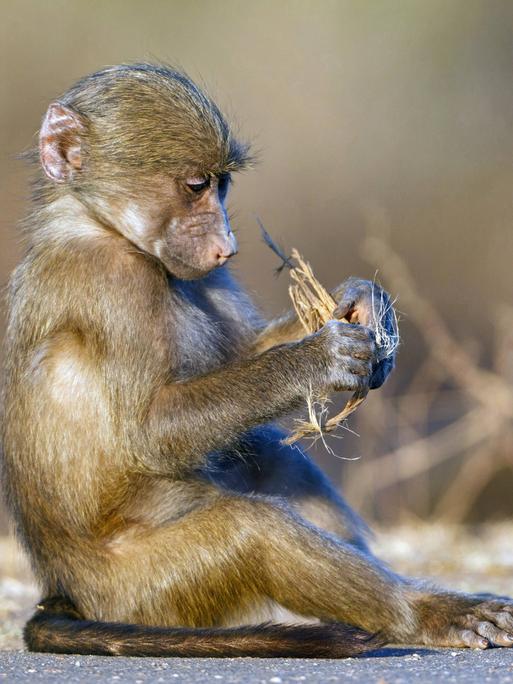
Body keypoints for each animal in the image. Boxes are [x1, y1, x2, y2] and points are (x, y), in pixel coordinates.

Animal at [1, 64, 512, 656]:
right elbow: (150, 431)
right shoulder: (111, 285)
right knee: (253, 531)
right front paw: (318, 358)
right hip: (146, 591)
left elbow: (241, 358)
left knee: (271, 455)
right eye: (195, 185)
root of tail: (64, 592)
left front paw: (359, 303)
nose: (227, 246)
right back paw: (428, 614)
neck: (96, 223)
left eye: (221, 183)